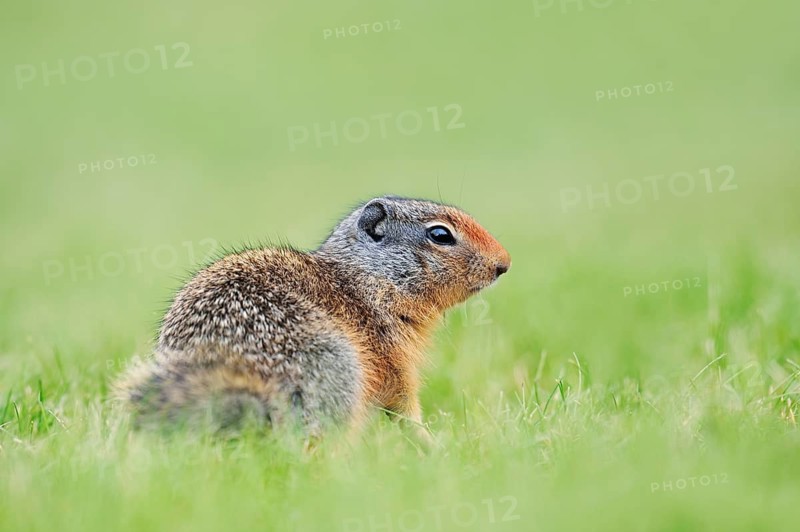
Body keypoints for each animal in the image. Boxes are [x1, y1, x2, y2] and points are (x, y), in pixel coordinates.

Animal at [115, 196, 510, 440]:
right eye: (440, 234)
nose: (504, 264)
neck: (366, 277)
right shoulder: (394, 360)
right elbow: (405, 409)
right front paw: (431, 443)